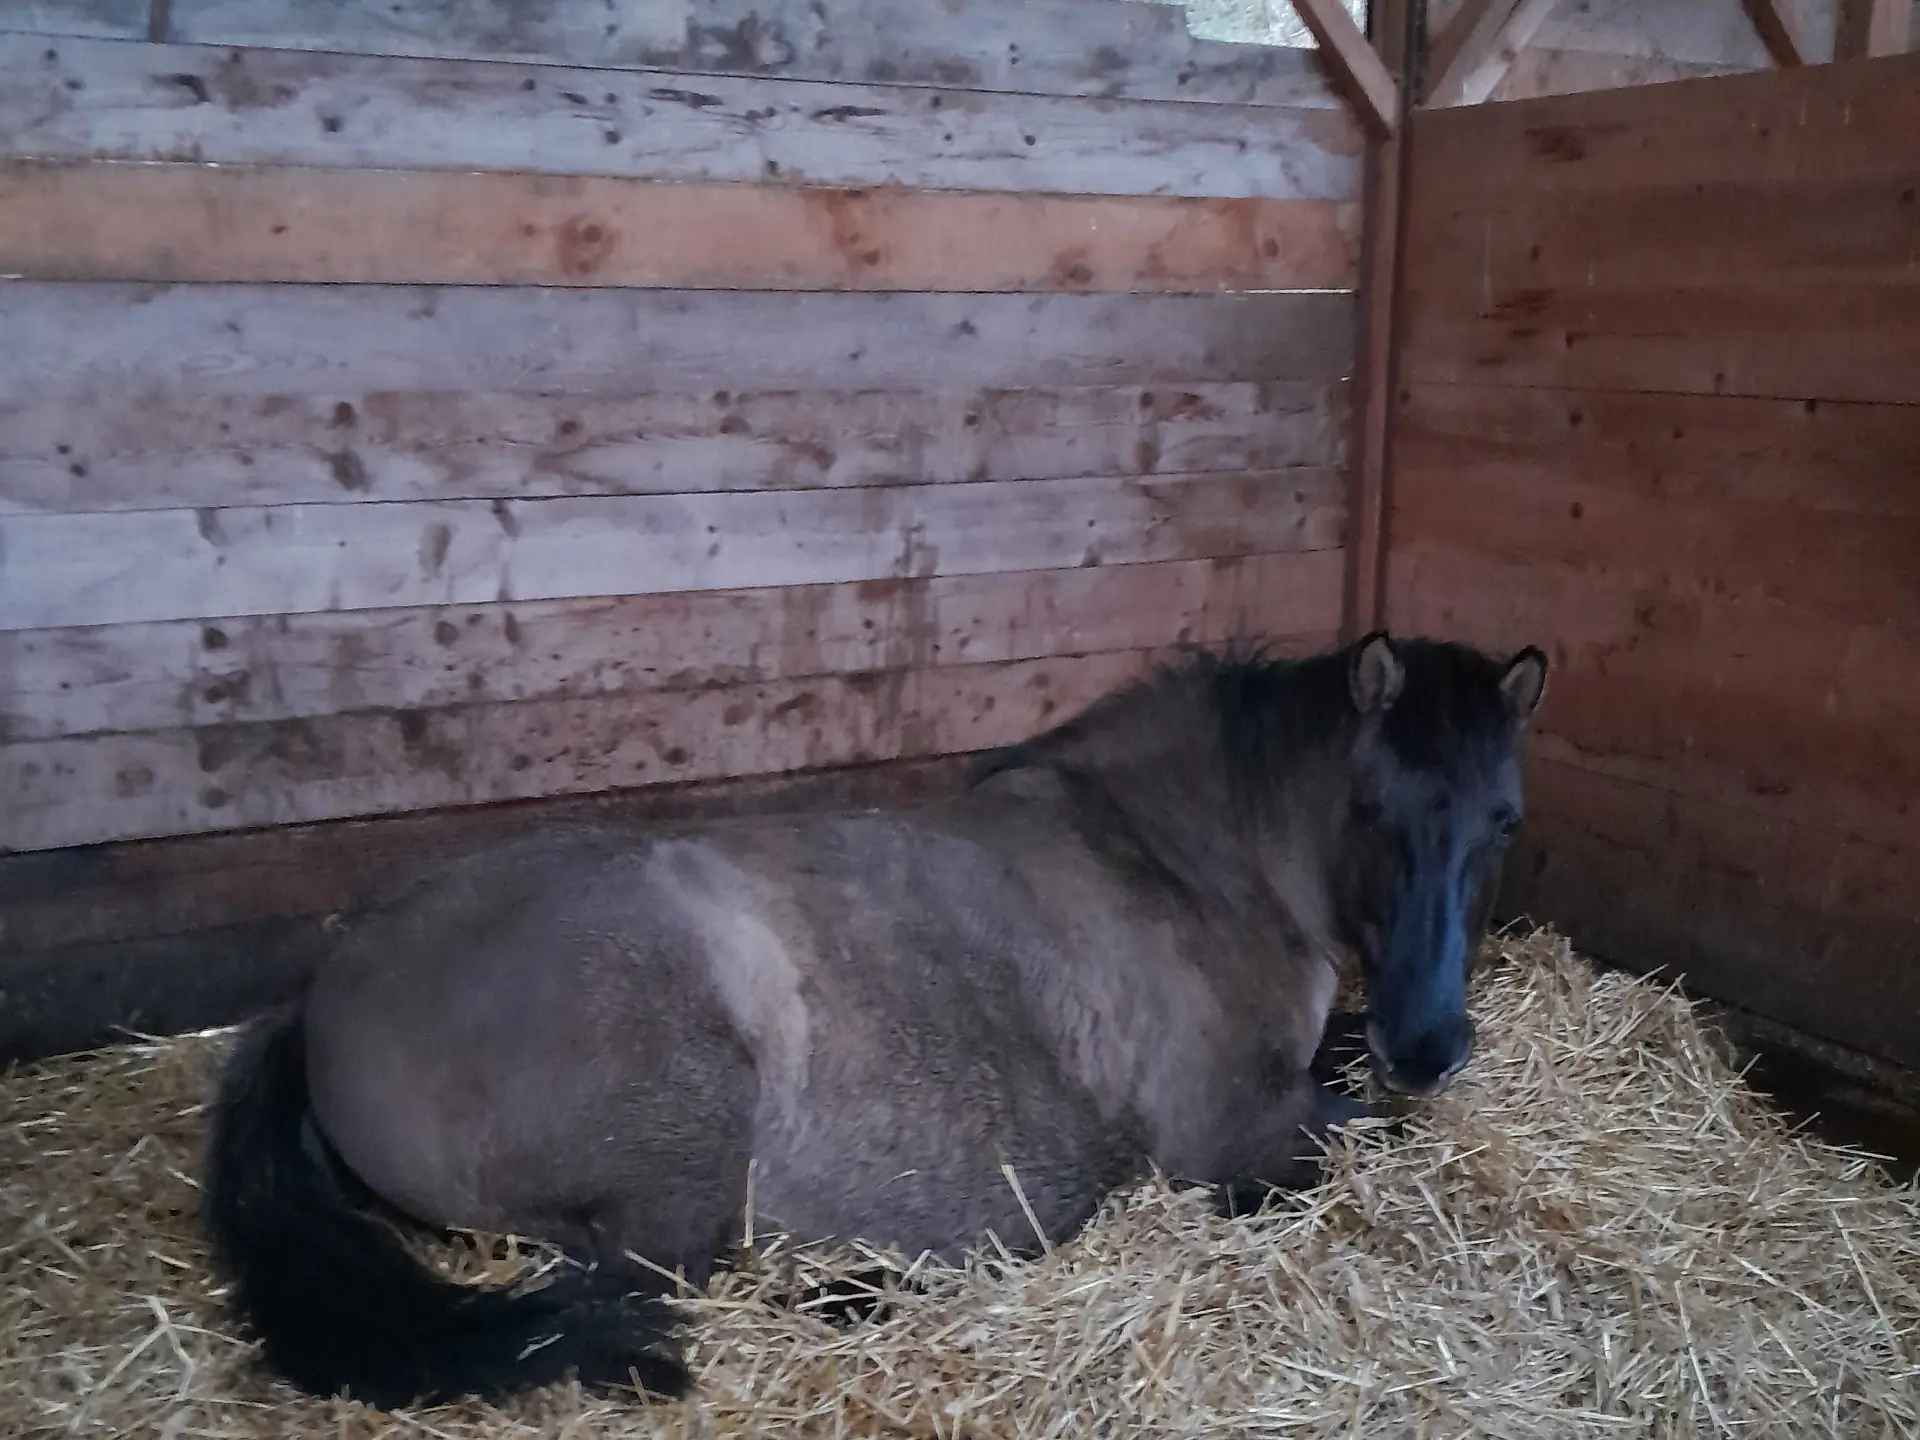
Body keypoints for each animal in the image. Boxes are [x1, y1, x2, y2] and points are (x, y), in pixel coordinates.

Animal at [202, 630, 1547, 1408]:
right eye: (1372, 808)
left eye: (1504, 821)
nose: (1433, 1042)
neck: (1183, 856)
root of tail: (318, 996)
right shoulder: (1238, 1140)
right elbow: (1370, 1131)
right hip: (682, 1164)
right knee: (659, 1292)